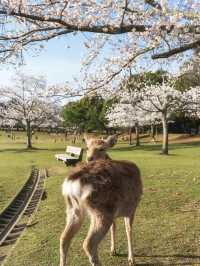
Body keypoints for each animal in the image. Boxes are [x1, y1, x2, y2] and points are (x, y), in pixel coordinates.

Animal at [60, 135, 143, 266]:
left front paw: (113, 250)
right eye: (87, 147)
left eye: (102, 148)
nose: (89, 158)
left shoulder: (116, 212)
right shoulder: (132, 207)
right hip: (102, 210)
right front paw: (131, 259)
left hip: (73, 209)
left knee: (63, 238)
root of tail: (72, 182)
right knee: (88, 244)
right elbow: (128, 230)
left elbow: (114, 227)